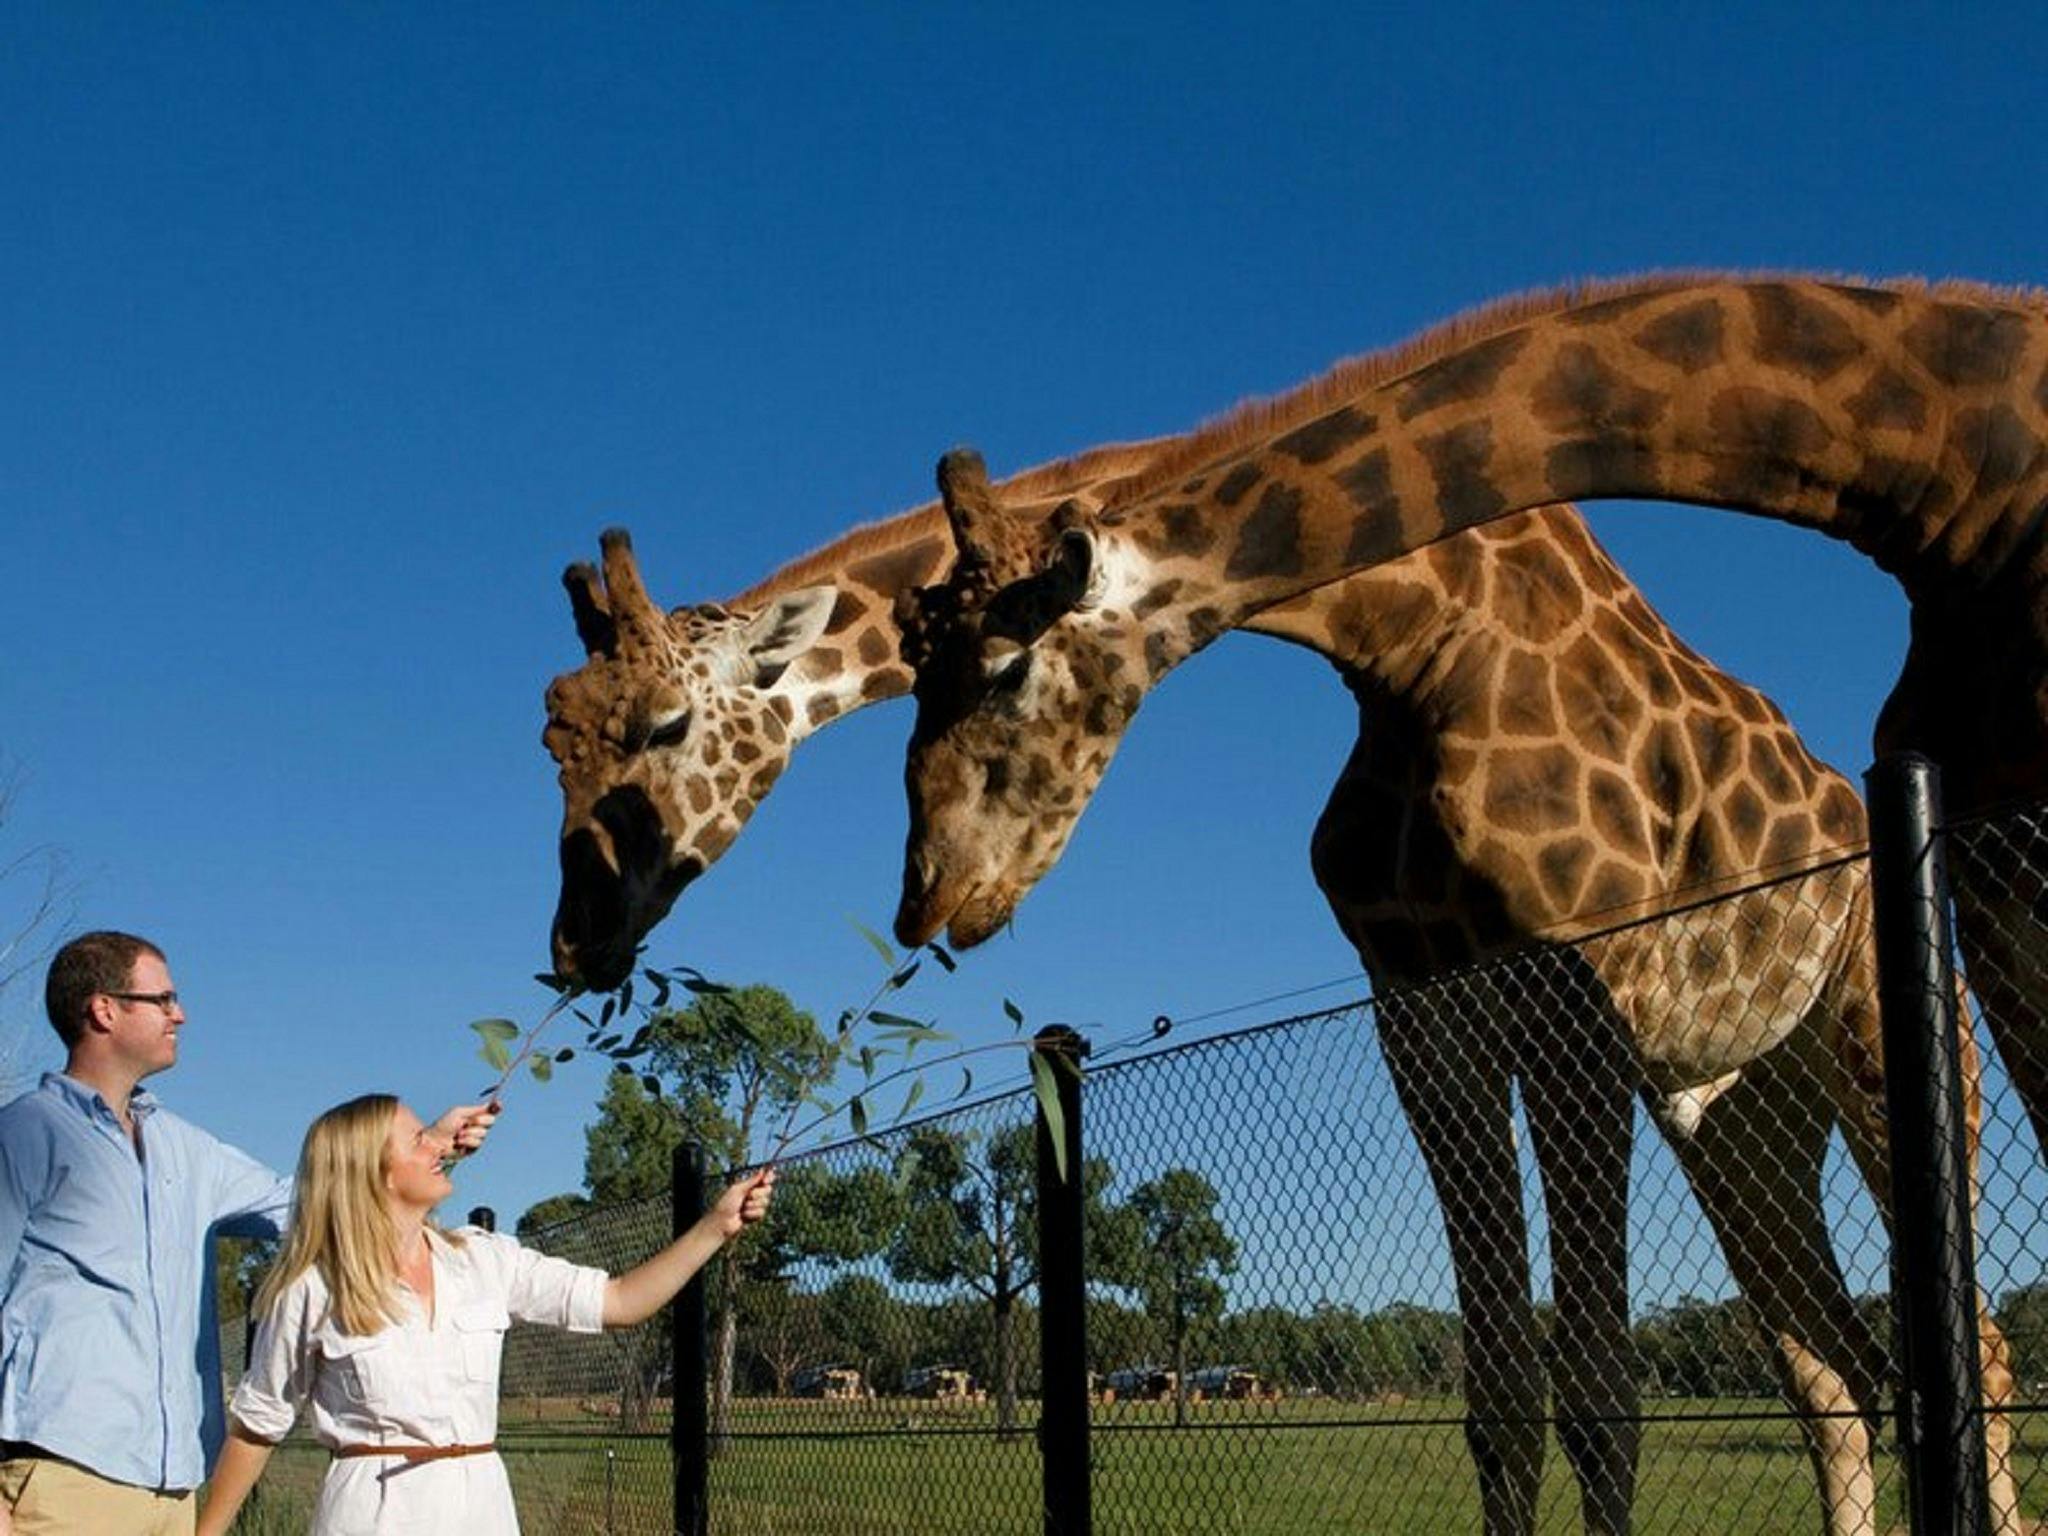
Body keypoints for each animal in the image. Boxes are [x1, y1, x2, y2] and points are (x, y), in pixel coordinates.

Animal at [543, 476, 2011, 1533]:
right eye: (549, 731)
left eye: (665, 728)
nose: (572, 946)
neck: (1404, 632)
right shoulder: (1419, 1010)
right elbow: (1501, 1396)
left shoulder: (1572, 987)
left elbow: (1600, 1395)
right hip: (1736, 1105)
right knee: (1838, 1376)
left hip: (1885, 1024)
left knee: (1972, 1355)